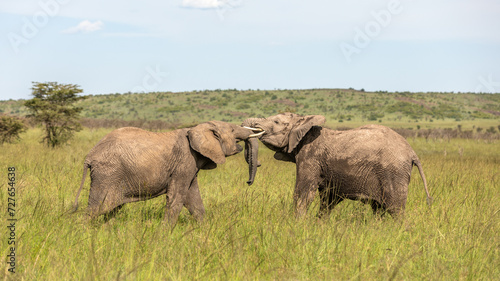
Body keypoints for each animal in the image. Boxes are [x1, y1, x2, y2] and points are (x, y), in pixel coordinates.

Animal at [74, 120, 264, 225]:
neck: (195, 129)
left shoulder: (190, 165)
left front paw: (205, 229)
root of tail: (89, 156)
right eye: (232, 130)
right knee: (96, 209)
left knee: (111, 209)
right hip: (107, 174)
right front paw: (165, 234)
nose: (248, 182)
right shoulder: (184, 161)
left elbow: (193, 198)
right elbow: (177, 197)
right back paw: (85, 232)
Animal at [241, 112, 430, 218]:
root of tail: (412, 152)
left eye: (276, 122)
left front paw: (297, 225)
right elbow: (328, 199)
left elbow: (302, 194)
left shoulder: (310, 156)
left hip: (393, 172)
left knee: (395, 209)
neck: (307, 126)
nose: (248, 182)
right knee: (379, 209)